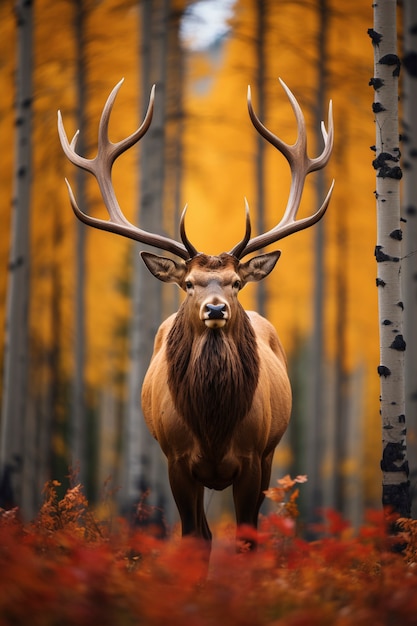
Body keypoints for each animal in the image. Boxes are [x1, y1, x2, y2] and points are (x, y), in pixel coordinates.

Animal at [57, 77, 334, 544]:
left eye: (237, 282)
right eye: (189, 284)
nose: (216, 308)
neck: (213, 428)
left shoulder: (253, 457)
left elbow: (246, 536)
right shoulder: (176, 460)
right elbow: (193, 538)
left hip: (271, 452)